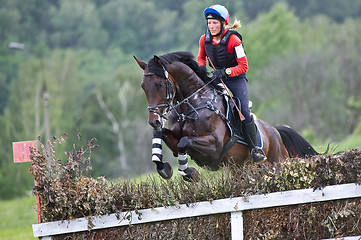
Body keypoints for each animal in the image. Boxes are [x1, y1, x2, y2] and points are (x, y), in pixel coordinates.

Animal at [134, 51, 316, 181]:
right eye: (143, 86)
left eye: (159, 84)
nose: (154, 121)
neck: (194, 103)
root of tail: (276, 132)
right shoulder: (175, 141)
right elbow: (163, 135)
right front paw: (163, 168)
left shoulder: (214, 147)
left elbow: (184, 142)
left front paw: (191, 174)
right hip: (242, 170)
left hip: (277, 163)